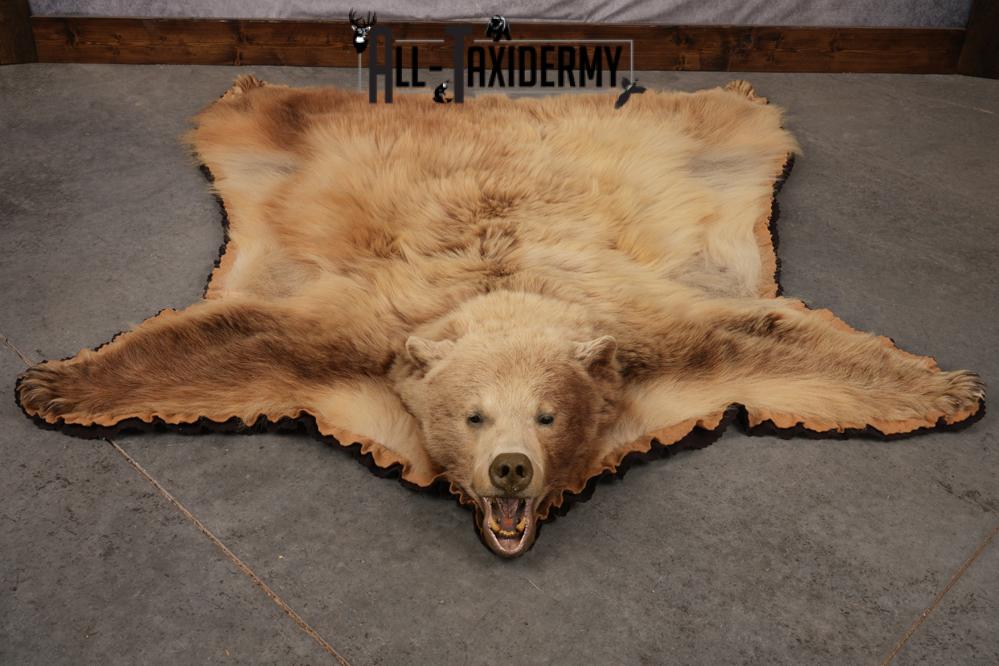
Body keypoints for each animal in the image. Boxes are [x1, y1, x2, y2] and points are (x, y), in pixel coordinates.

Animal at [16, 76, 984, 557]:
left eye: (548, 415)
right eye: (473, 415)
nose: (511, 469)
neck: (504, 287)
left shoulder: (648, 331)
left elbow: (760, 333)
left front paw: (949, 386)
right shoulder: (363, 331)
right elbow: (242, 335)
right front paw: (52, 382)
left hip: (692, 139)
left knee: (718, 111)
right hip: (301, 134)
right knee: (275, 107)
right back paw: (255, 80)